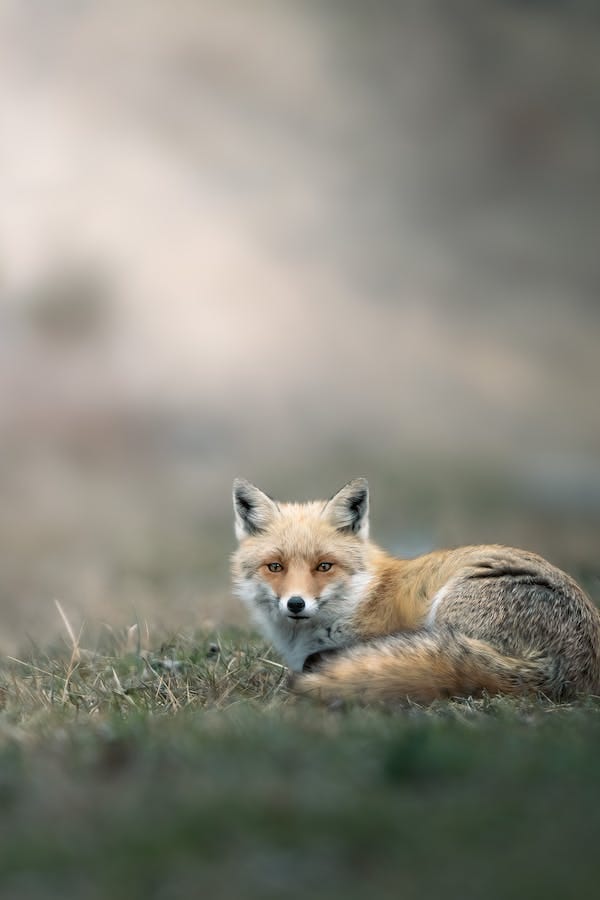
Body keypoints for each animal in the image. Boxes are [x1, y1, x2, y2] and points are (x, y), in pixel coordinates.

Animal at [231, 477, 600, 704]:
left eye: (324, 566)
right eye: (275, 567)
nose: (295, 604)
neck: (360, 597)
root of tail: (563, 671)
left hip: (449, 607)